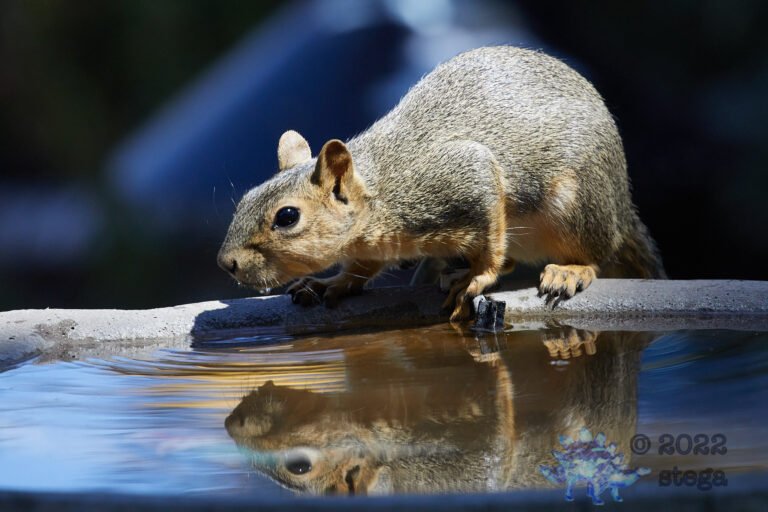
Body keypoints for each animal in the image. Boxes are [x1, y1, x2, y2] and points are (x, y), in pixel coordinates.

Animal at [217, 46, 665, 321]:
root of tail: (621, 205)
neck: (379, 196)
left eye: (287, 217)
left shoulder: (462, 177)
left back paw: (568, 270)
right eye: (244, 199)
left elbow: (491, 243)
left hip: (577, 208)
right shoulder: (372, 246)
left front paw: (477, 277)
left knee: (593, 252)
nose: (227, 263)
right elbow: (362, 268)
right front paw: (334, 281)